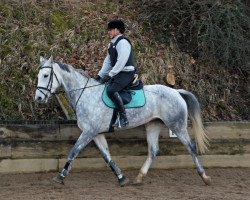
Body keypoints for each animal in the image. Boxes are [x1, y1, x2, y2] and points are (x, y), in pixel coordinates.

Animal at [34, 55, 211, 186]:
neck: (85, 94)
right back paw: (139, 177)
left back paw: (204, 177)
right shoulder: (96, 133)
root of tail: (177, 92)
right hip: (153, 125)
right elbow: (107, 156)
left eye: (45, 75)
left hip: (177, 125)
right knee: (153, 151)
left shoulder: (89, 132)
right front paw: (121, 177)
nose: (38, 98)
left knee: (191, 147)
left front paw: (61, 176)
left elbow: (73, 151)